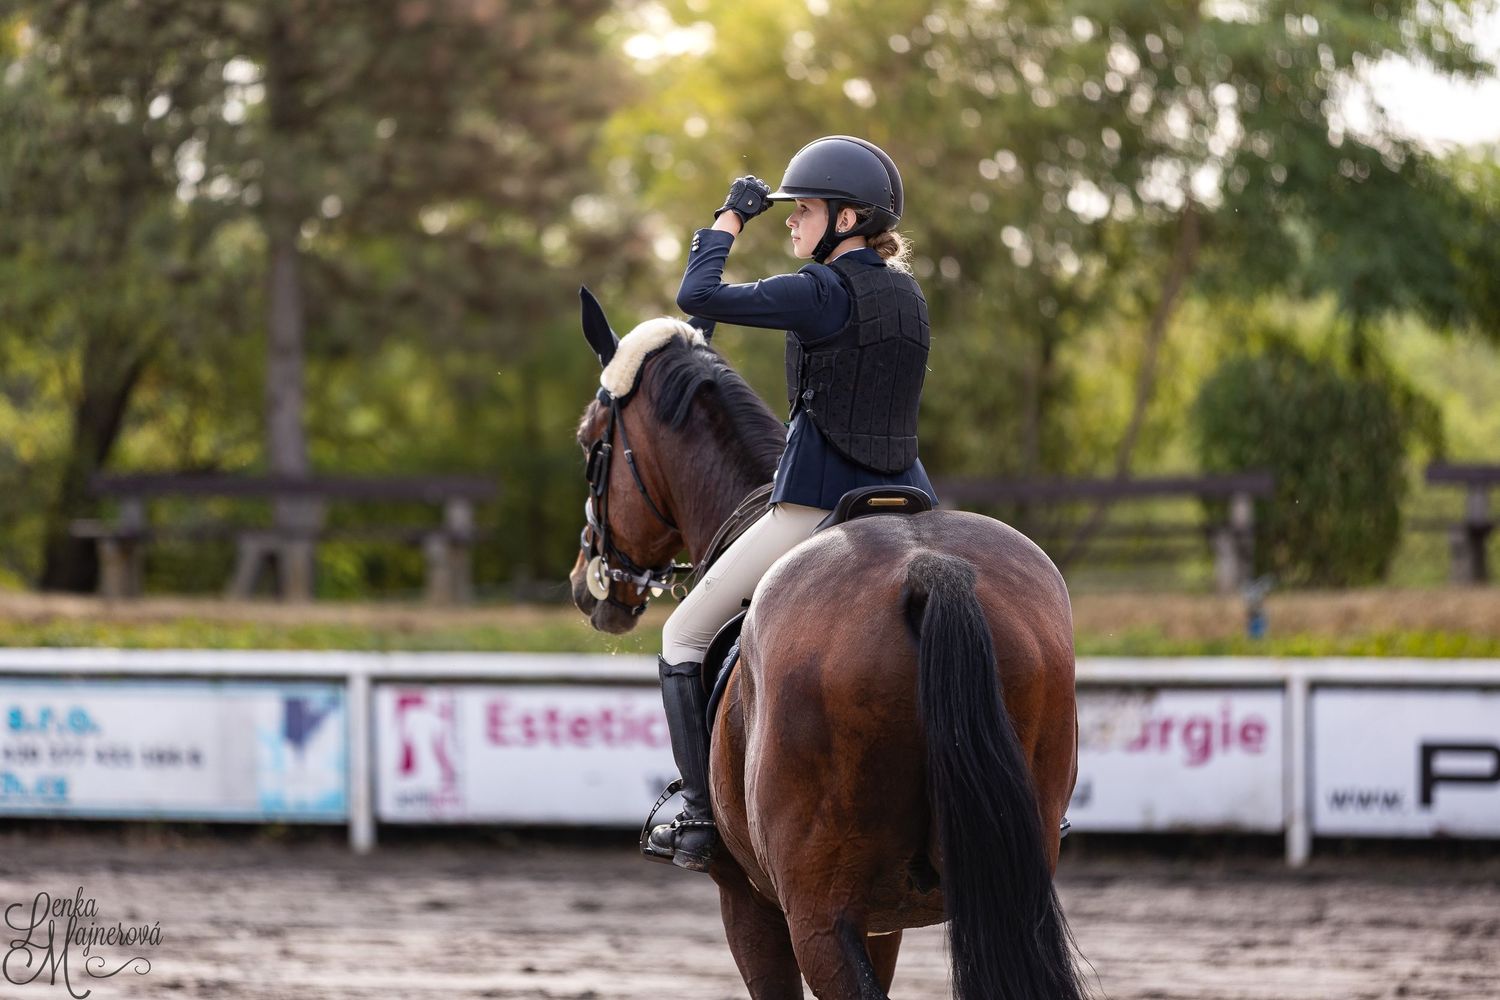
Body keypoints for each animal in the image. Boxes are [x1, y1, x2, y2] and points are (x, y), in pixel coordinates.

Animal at [568, 288, 1087, 1000]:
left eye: (589, 441)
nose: (587, 586)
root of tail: (930, 571)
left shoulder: (752, 904)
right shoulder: (884, 918)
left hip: (817, 912)